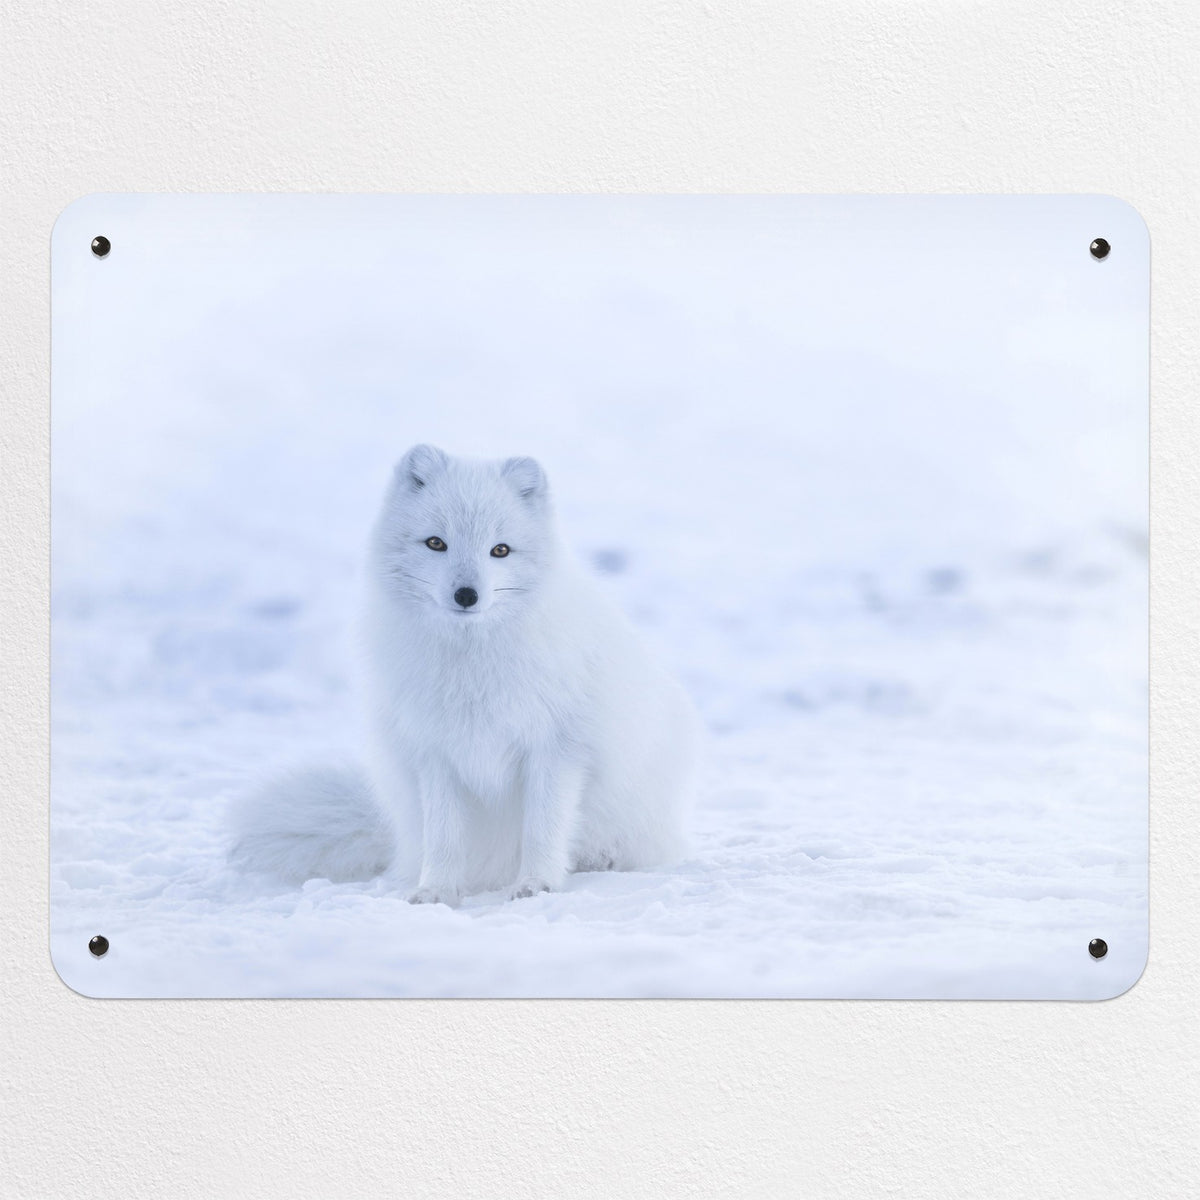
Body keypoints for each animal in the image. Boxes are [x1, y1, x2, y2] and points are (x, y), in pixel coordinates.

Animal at [229, 444, 700, 904]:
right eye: (436, 542)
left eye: (500, 550)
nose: (467, 595)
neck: (472, 665)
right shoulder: (435, 753)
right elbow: (444, 837)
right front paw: (436, 891)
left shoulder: (557, 748)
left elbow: (543, 828)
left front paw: (537, 885)